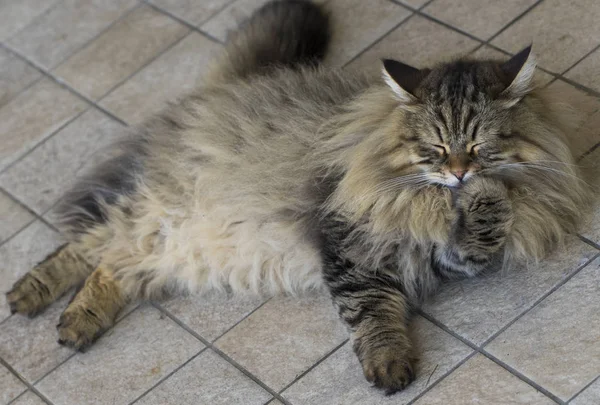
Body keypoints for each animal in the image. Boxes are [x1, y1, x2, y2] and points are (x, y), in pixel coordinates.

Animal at [7, 0, 592, 392]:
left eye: (477, 144)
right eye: (434, 148)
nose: (459, 172)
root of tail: (211, 96)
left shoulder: (448, 255)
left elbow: (479, 234)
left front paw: (489, 196)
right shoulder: (348, 248)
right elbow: (372, 314)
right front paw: (388, 367)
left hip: (167, 245)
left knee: (113, 264)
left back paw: (76, 323)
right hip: (152, 212)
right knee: (86, 246)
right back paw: (34, 300)